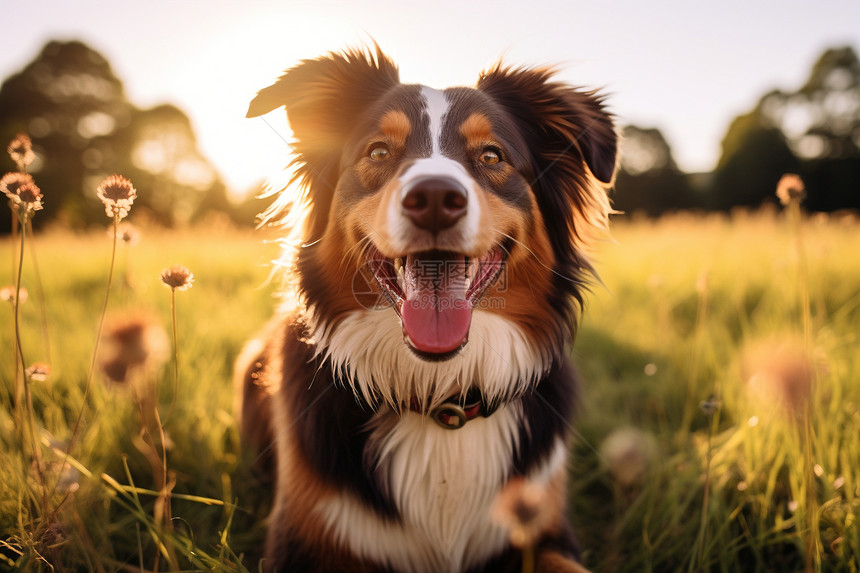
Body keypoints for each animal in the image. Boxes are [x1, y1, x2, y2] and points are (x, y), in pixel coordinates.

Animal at [239, 45, 616, 572]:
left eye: (492, 155)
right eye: (379, 152)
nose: (435, 197)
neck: (440, 398)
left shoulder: (546, 531)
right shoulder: (299, 540)